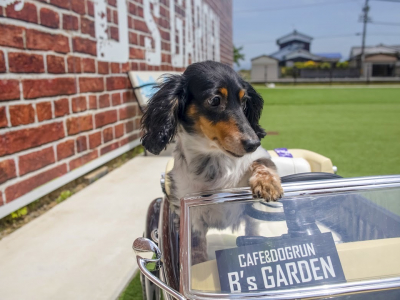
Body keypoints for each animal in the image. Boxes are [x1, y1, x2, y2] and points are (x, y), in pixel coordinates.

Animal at [139, 61, 282, 262]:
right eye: (215, 100)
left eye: (244, 101)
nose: (253, 143)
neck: (214, 160)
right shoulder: (190, 214)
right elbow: (196, 247)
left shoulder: (259, 158)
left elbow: (262, 164)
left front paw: (268, 184)